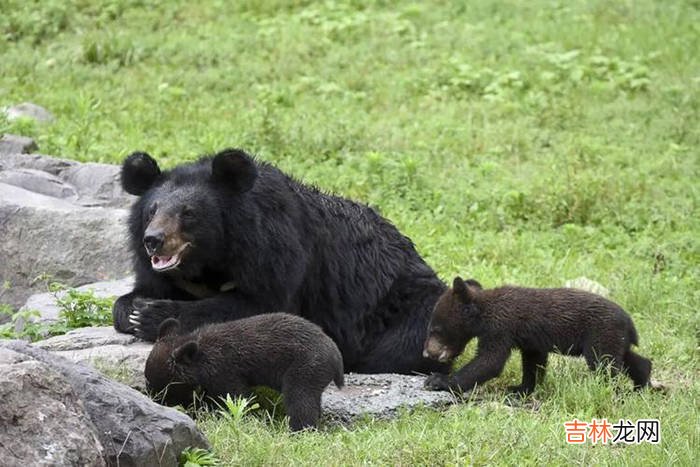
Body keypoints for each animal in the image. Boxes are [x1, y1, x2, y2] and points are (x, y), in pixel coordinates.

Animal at [112, 148, 446, 374]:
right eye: (152, 211)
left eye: (188, 213)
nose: (153, 240)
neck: (210, 258)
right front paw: (132, 309)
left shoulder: (276, 252)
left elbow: (264, 307)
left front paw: (150, 315)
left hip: (412, 309)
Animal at [146, 314, 344, 432]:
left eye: (164, 389)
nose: (154, 400)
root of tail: (336, 356)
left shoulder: (225, 372)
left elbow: (237, 397)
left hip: (305, 368)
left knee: (300, 400)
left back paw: (298, 430)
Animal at [422, 278, 652, 394]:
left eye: (435, 328)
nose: (427, 352)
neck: (483, 312)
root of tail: (630, 323)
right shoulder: (529, 339)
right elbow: (533, 361)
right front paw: (519, 388)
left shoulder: (500, 327)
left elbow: (490, 361)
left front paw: (439, 380)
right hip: (614, 337)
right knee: (628, 359)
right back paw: (641, 385)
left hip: (600, 333)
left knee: (605, 365)